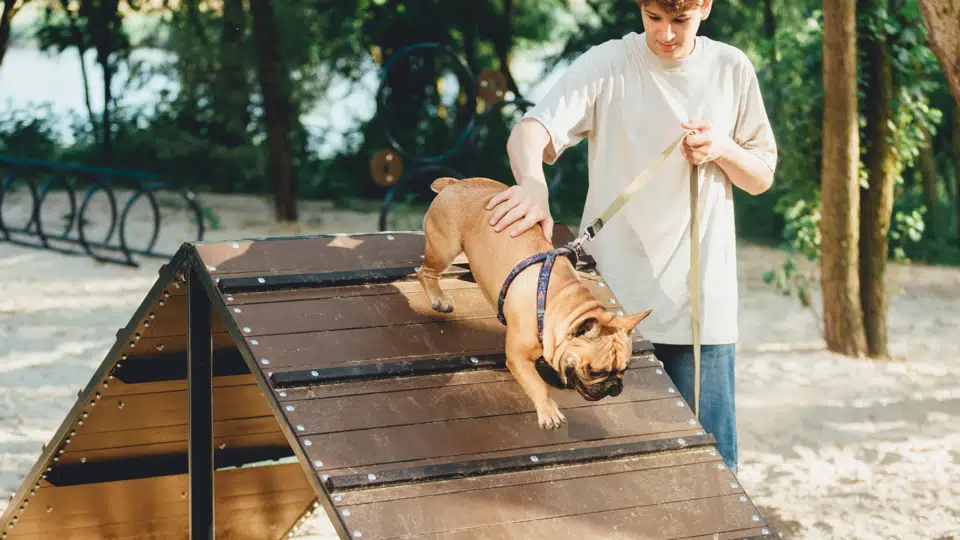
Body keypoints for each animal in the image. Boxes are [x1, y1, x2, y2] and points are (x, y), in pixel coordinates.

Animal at [414, 177, 652, 430]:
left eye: (625, 369)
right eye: (596, 372)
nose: (615, 386)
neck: (561, 303)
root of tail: (454, 183)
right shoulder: (517, 356)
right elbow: (538, 384)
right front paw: (549, 412)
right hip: (444, 248)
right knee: (425, 272)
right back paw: (439, 298)